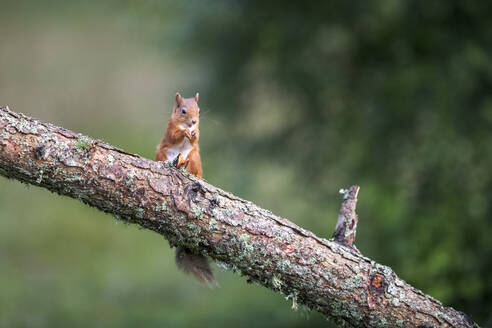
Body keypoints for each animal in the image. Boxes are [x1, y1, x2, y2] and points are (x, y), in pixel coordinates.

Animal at [155, 91, 214, 284]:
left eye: (199, 110)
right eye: (183, 111)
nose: (194, 122)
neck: (183, 124)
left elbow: (197, 137)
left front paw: (194, 133)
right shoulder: (170, 129)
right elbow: (175, 135)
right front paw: (184, 133)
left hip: (194, 157)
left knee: (195, 169)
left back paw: (198, 176)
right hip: (162, 153)